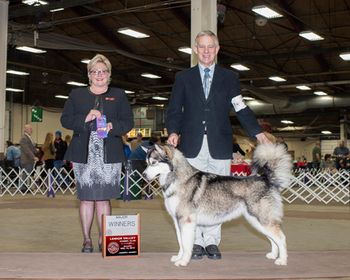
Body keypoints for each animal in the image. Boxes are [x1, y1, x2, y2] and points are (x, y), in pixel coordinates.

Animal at [142, 144, 292, 266]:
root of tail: (265, 179)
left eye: (154, 163)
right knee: (273, 238)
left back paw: (282, 260)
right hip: (256, 221)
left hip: (262, 218)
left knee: (281, 237)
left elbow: (186, 243)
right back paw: (273, 255)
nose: (143, 175)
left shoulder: (186, 220)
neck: (177, 179)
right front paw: (179, 257)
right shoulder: (177, 220)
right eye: (147, 163)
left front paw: (183, 261)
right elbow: (181, 242)